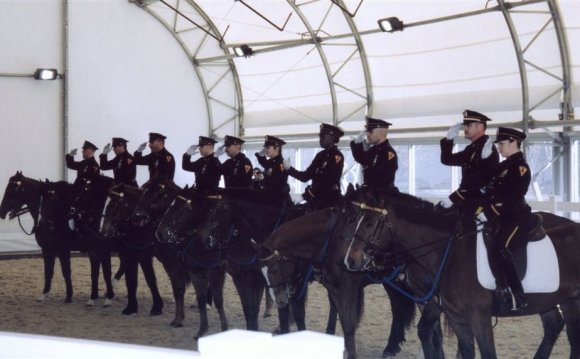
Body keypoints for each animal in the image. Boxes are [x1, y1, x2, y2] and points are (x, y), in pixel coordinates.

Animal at [0, 173, 76, 302]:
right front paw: (44, 294)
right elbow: (49, 271)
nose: (1, 212)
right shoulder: (48, 249)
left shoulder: (61, 249)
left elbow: (65, 271)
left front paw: (69, 296)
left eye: (12, 190)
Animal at [258, 188, 416, 359]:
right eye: (262, 273)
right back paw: (392, 345)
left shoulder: (344, 287)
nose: (279, 300)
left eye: (274, 269)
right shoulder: (330, 285)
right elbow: (338, 316)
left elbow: (345, 321)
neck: (331, 240)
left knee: (397, 307)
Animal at [340, 190, 580, 358]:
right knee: (558, 328)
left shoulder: (478, 317)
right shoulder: (454, 315)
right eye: (354, 218)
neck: (448, 252)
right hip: (558, 300)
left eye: (369, 222)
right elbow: (440, 337)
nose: (350, 259)